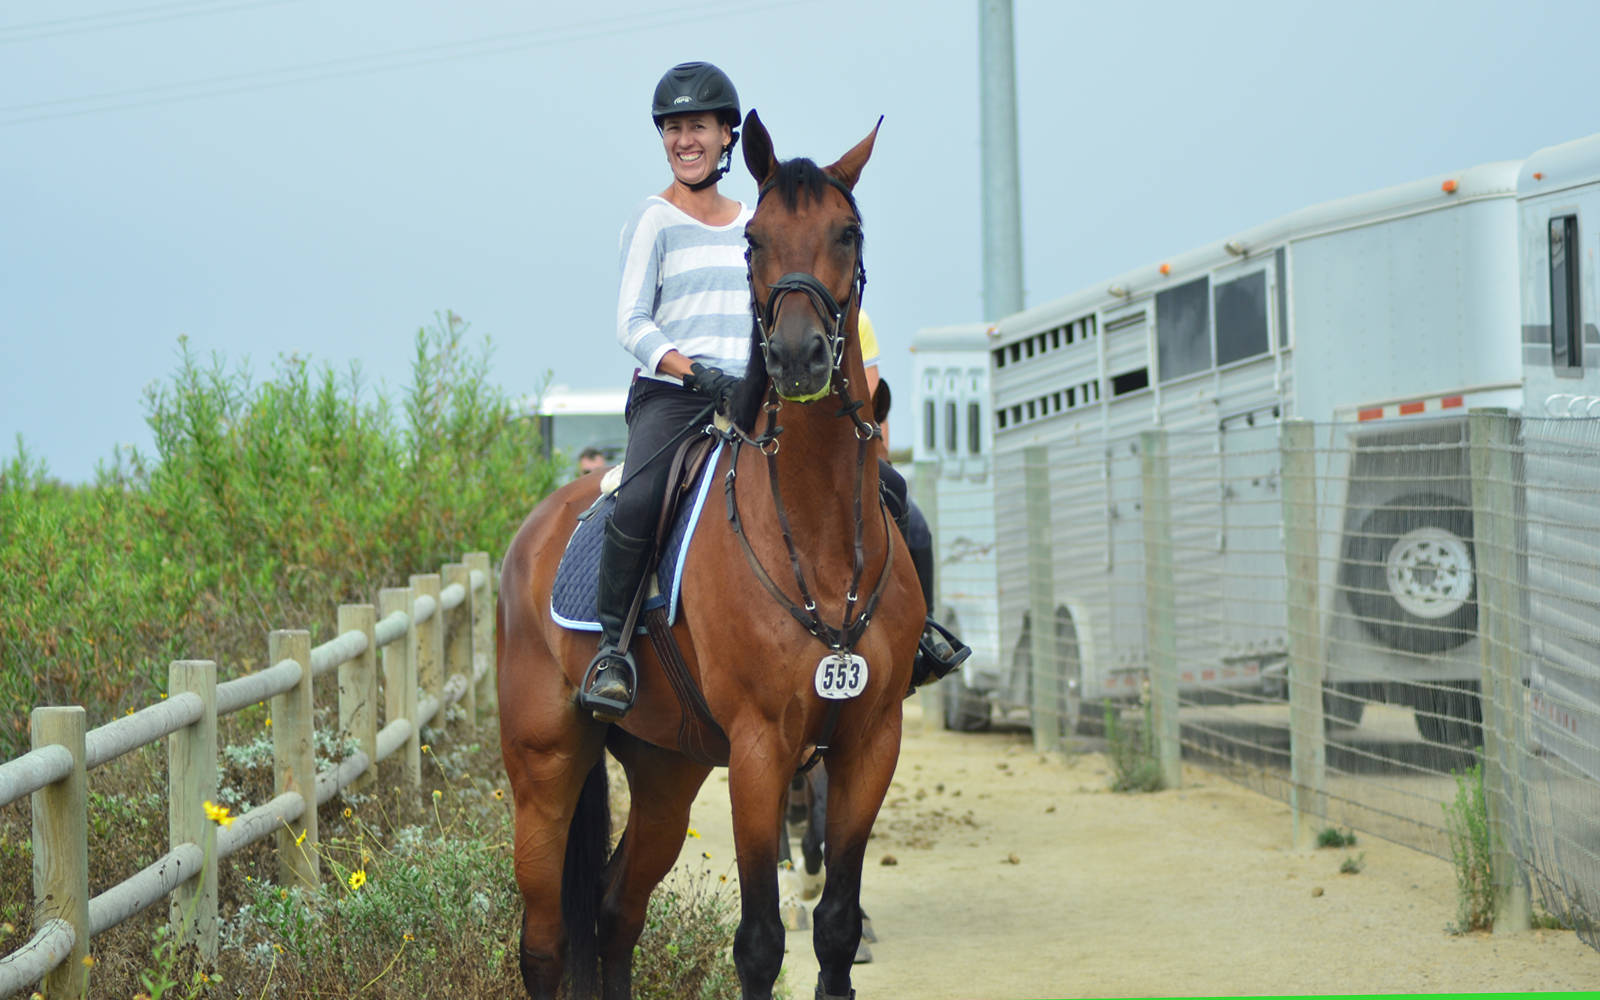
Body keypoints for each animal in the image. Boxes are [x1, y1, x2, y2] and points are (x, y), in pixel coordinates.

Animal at [496, 108, 924, 1000]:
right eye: (754, 240)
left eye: (847, 231)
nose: (796, 357)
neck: (818, 542)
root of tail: (532, 535)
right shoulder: (761, 752)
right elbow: (759, 943)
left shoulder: (870, 741)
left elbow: (836, 927)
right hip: (545, 767)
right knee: (546, 941)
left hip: (666, 768)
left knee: (615, 913)